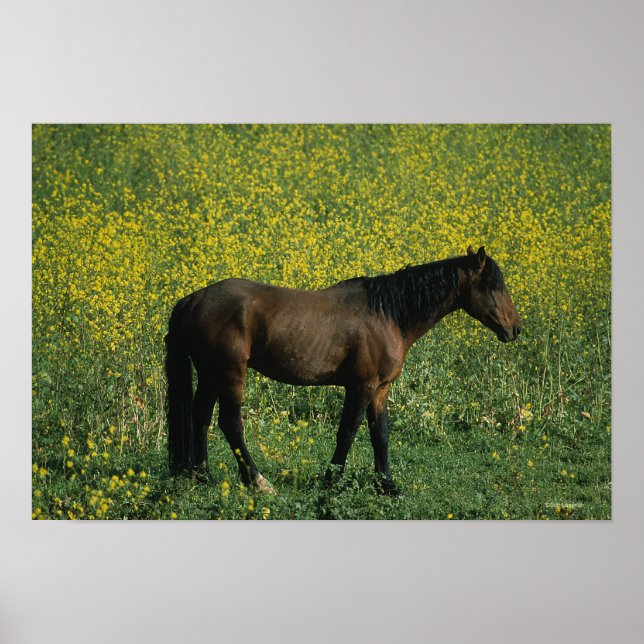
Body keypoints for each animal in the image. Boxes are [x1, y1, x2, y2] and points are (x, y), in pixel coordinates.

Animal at [165, 245, 521, 495]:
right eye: (494, 286)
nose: (515, 329)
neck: (387, 314)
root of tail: (192, 300)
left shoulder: (380, 389)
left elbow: (380, 435)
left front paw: (387, 484)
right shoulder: (362, 386)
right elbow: (347, 433)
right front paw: (331, 479)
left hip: (210, 374)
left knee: (200, 416)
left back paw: (203, 475)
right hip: (229, 373)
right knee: (230, 423)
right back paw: (258, 481)